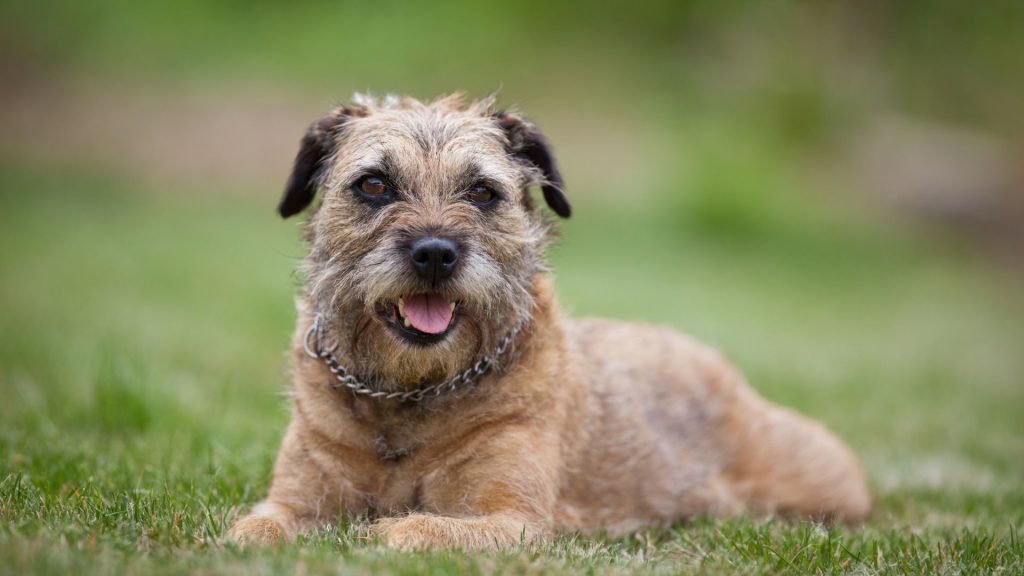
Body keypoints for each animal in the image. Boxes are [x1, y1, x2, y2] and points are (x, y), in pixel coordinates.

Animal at [228, 93, 868, 545]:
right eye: (374, 185)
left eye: (482, 192)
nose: (435, 252)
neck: (409, 395)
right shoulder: (292, 500)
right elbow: (252, 530)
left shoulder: (514, 521)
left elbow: (409, 530)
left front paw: (378, 532)